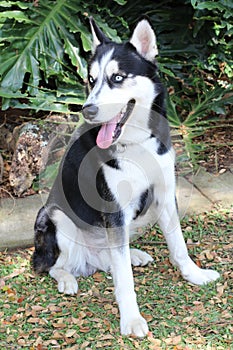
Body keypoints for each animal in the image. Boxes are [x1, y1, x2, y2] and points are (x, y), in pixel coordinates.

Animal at [31, 17, 219, 338]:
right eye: (91, 80)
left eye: (117, 77)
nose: (88, 110)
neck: (135, 142)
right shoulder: (113, 210)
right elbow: (124, 279)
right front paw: (131, 319)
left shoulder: (165, 195)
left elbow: (179, 246)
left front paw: (194, 274)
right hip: (54, 215)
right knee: (57, 265)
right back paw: (68, 278)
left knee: (111, 258)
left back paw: (134, 255)